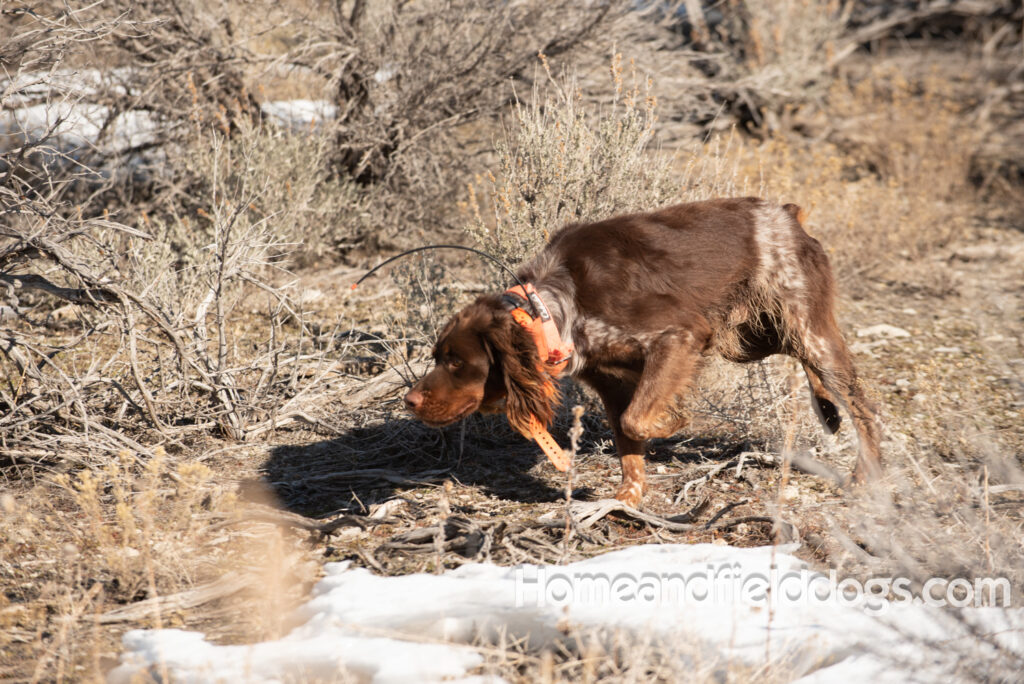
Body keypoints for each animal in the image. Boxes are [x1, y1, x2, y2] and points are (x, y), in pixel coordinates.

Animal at [399, 197, 880, 507]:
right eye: (438, 356)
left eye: (457, 362)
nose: (410, 400)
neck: (554, 307)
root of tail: (788, 215)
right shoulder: (610, 381)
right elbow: (627, 437)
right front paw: (628, 496)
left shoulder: (680, 336)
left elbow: (639, 419)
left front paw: (675, 421)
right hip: (754, 337)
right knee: (810, 367)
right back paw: (827, 409)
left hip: (802, 327)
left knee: (863, 405)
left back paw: (865, 475)